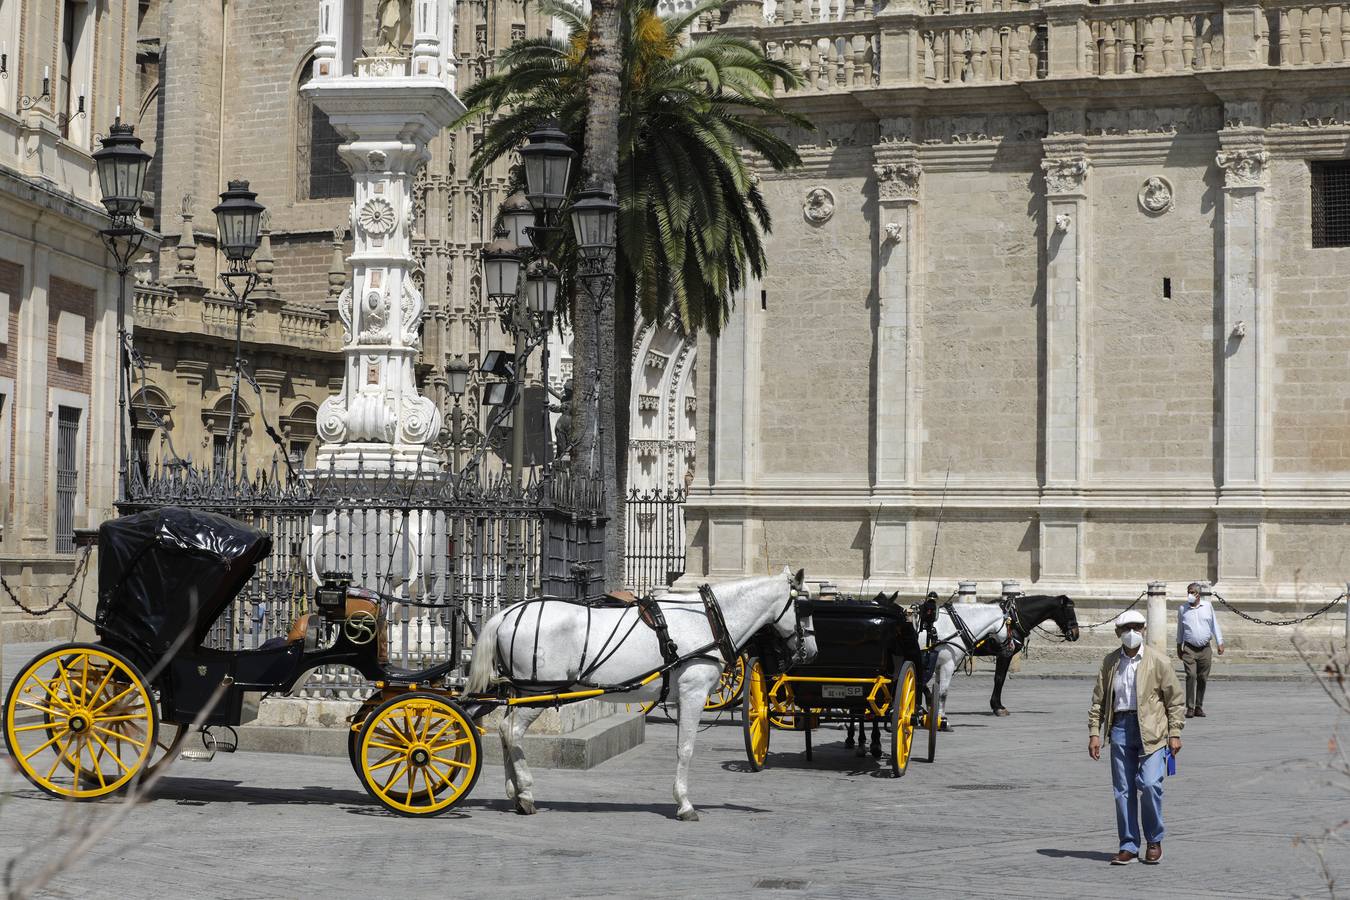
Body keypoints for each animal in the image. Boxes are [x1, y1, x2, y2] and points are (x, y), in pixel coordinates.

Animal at [469, 569, 815, 825]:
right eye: (805, 608)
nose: (811, 652)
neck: (707, 620)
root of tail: (507, 613)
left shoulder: (684, 697)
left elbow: (681, 747)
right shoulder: (693, 694)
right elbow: (686, 749)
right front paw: (685, 804)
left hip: (521, 692)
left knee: (505, 731)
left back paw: (514, 793)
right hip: (538, 692)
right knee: (512, 731)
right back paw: (526, 794)